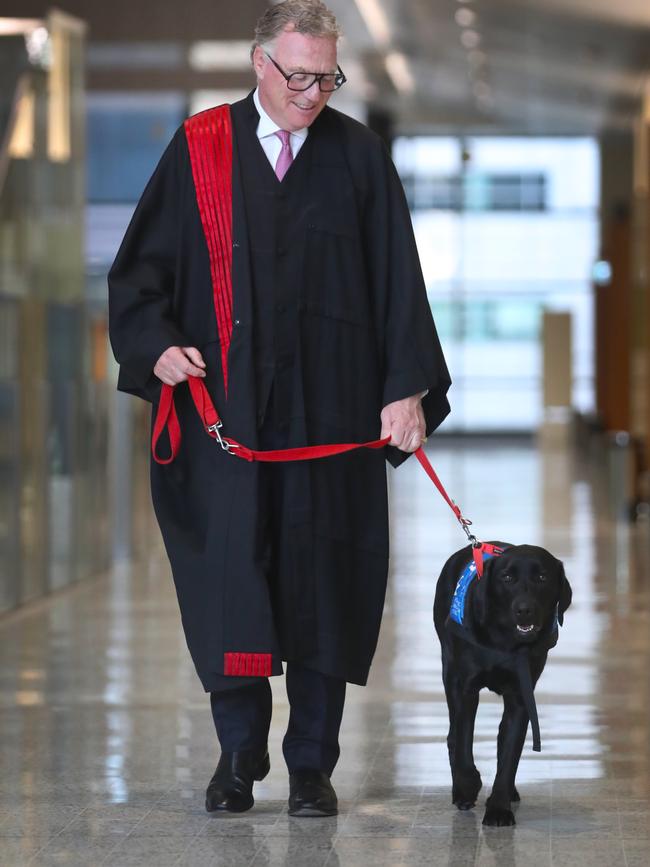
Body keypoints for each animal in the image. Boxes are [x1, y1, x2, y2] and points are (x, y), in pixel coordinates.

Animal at [432, 544, 568, 828]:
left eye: (542, 578)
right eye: (507, 578)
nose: (524, 609)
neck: (504, 640)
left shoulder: (521, 696)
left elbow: (510, 754)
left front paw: (498, 808)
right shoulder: (465, 689)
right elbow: (463, 743)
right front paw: (467, 785)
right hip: (449, 669)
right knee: (453, 736)